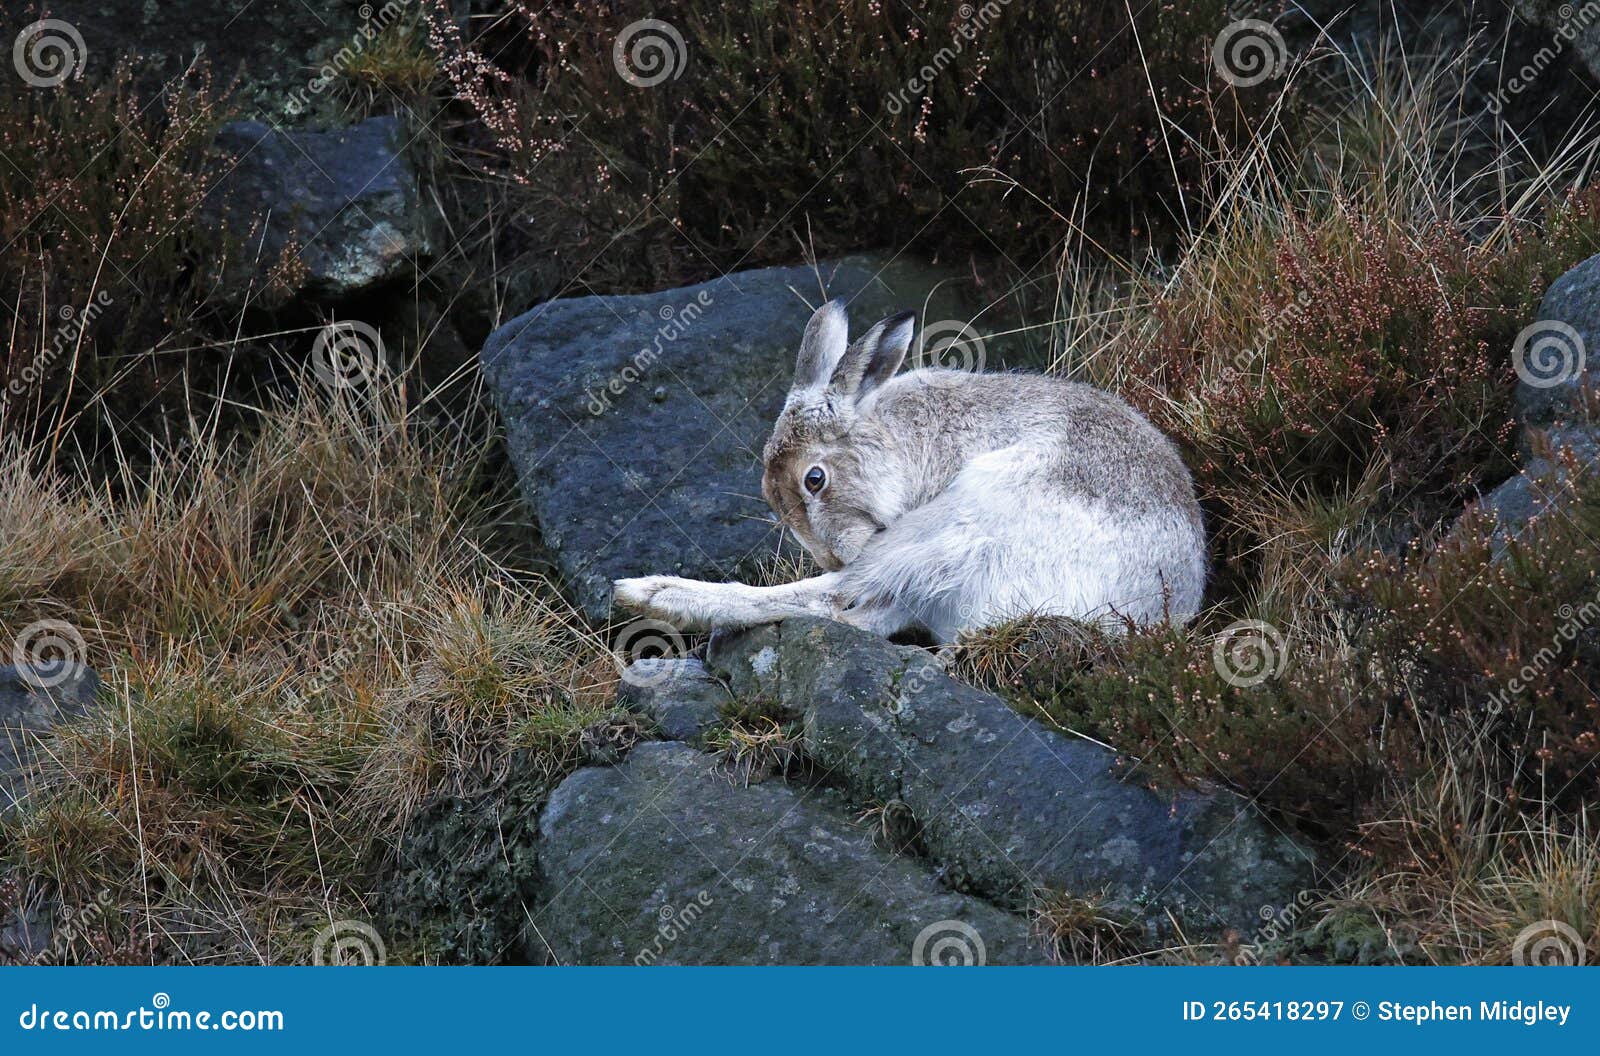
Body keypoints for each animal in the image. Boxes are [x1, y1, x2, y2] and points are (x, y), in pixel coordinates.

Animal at [612, 299, 1206, 643]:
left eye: (814, 479)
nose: (833, 554)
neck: (894, 440)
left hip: (961, 520)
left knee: (834, 600)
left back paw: (651, 595)